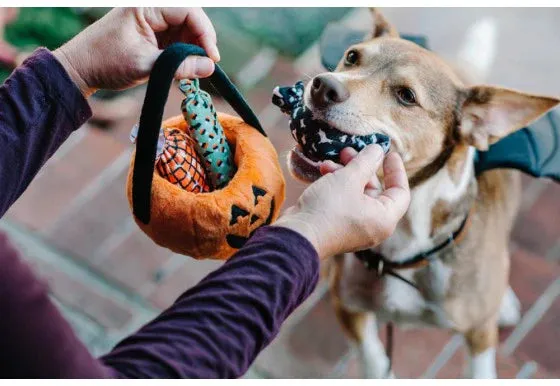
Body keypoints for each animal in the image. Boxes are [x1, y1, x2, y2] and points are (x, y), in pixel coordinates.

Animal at [288, 8, 560, 376]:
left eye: (406, 96)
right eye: (352, 57)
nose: (323, 85)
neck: (404, 237)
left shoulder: (479, 333)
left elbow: (481, 369)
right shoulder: (347, 306)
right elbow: (374, 359)